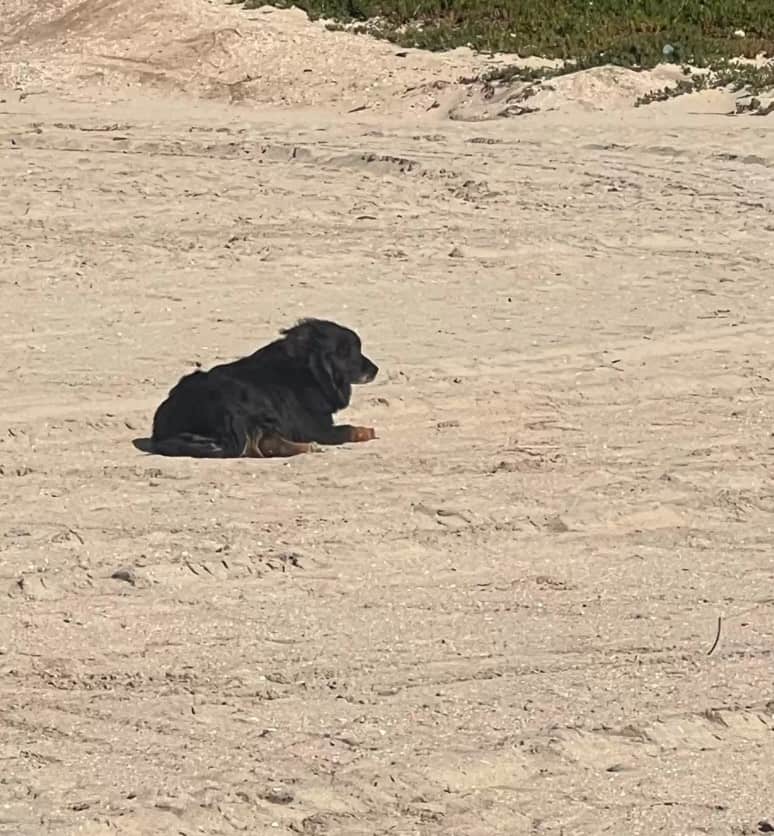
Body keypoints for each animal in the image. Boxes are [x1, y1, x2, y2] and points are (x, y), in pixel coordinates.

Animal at [150, 318, 380, 460]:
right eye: (349, 352)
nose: (375, 369)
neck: (307, 369)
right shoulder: (315, 428)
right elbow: (347, 429)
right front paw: (365, 431)